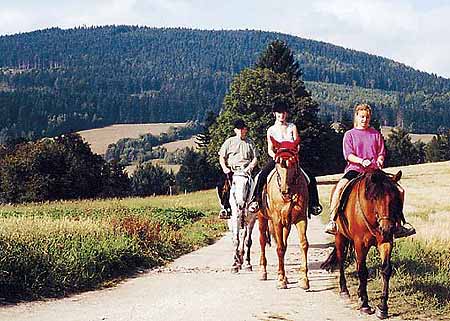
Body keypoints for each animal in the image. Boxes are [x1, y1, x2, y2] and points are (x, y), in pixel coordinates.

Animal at [256, 136, 310, 288]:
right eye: (278, 164)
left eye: (293, 162)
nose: (285, 190)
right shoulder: (277, 222)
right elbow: (279, 248)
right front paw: (280, 279)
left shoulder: (301, 219)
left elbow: (303, 244)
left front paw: (304, 279)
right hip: (262, 218)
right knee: (262, 241)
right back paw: (263, 271)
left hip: (287, 224)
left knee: (284, 244)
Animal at [322, 169, 402, 318]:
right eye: (375, 198)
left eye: (395, 198)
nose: (387, 228)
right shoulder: (360, 243)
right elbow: (363, 271)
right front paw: (365, 304)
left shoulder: (385, 242)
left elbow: (386, 269)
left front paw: (382, 308)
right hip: (340, 237)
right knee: (341, 260)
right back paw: (344, 291)